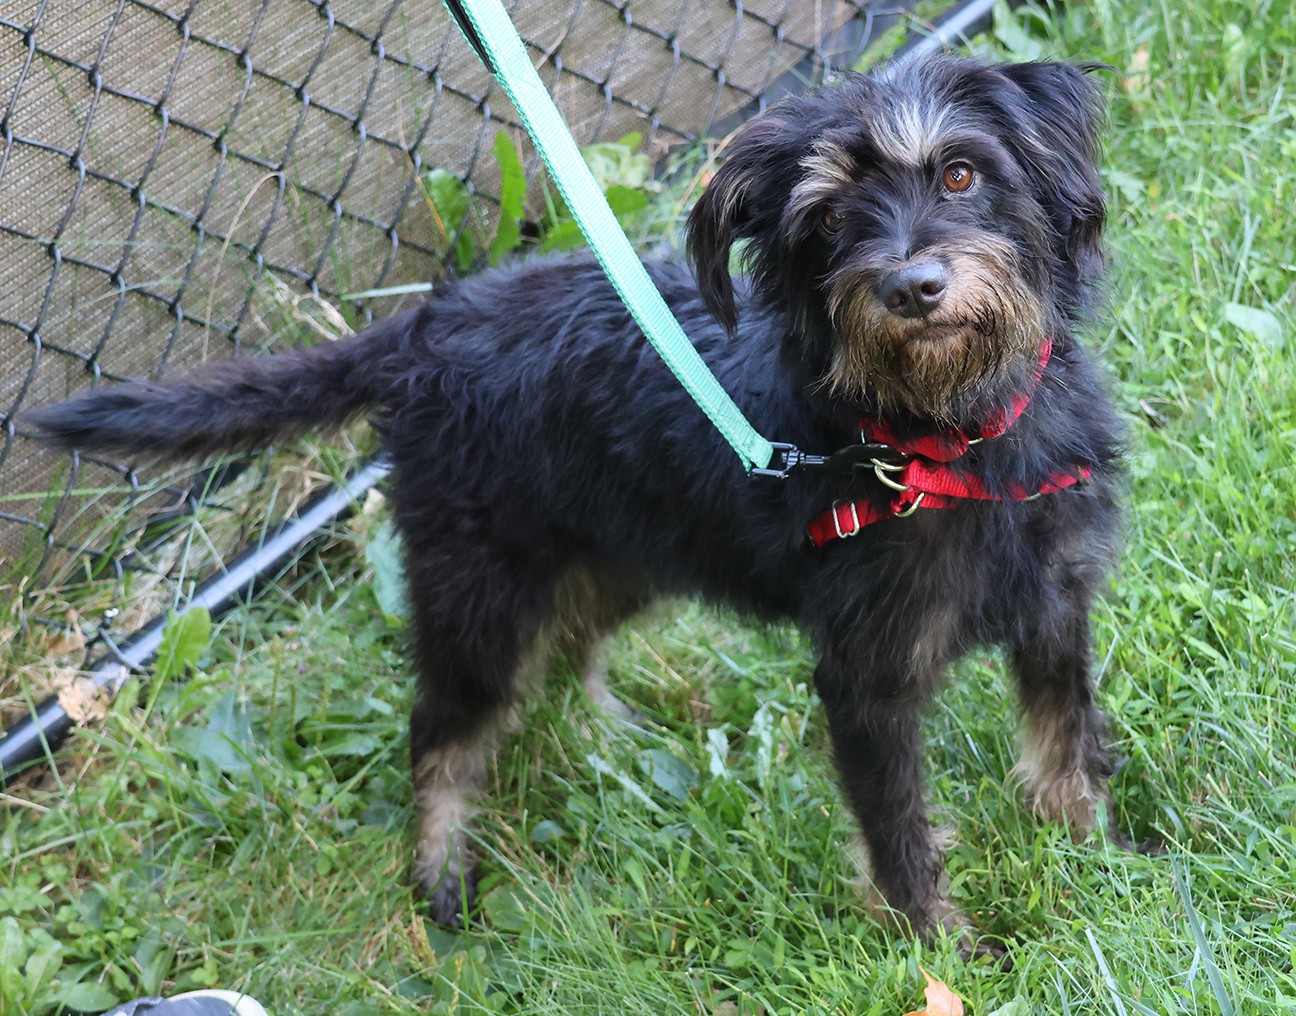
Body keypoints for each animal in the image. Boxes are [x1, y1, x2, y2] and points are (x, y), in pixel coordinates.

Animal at [26, 55, 1128, 952]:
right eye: (824, 221)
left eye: (960, 173)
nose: (913, 285)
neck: (949, 435)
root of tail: (424, 329)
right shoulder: (867, 679)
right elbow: (899, 831)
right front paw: (945, 948)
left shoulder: (1056, 613)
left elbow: (1065, 743)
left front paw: (1097, 856)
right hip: (478, 594)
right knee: (441, 730)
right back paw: (441, 874)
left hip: (618, 555)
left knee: (569, 648)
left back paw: (611, 739)